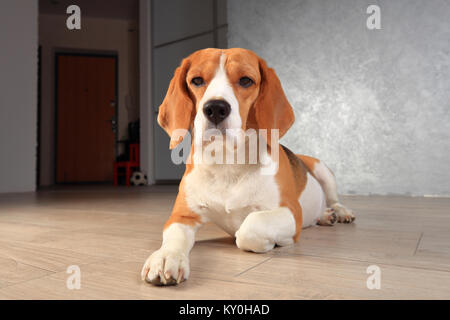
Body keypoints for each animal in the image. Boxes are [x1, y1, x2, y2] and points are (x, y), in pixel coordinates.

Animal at [141, 47, 356, 284]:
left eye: (246, 80)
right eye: (196, 80)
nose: (215, 108)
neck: (227, 162)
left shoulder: (291, 211)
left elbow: (249, 227)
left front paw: (271, 243)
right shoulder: (182, 216)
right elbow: (174, 237)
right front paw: (166, 257)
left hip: (321, 168)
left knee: (334, 199)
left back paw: (339, 212)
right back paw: (325, 215)